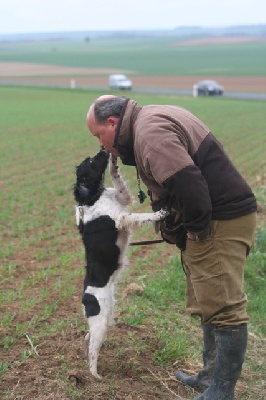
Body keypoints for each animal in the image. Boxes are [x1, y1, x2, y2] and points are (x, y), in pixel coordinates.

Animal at [74, 148, 167, 378]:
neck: (93, 198)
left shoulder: (122, 197)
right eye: (91, 162)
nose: (103, 149)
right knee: (92, 353)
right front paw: (161, 213)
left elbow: (116, 177)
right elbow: (142, 216)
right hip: (100, 322)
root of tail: (85, 297)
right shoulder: (122, 218)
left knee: (90, 339)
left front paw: (114, 162)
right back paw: (96, 377)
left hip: (105, 317)